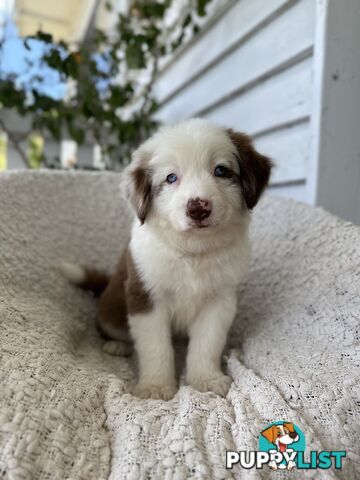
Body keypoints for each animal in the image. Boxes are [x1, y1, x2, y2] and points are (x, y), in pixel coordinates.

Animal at [62, 118, 272, 400]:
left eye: (221, 170)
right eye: (171, 178)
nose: (198, 208)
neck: (192, 251)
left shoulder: (219, 300)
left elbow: (207, 342)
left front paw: (206, 379)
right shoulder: (145, 295)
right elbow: (155, 346)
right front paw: (156, 386)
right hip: (112, 309)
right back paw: (117, 345)